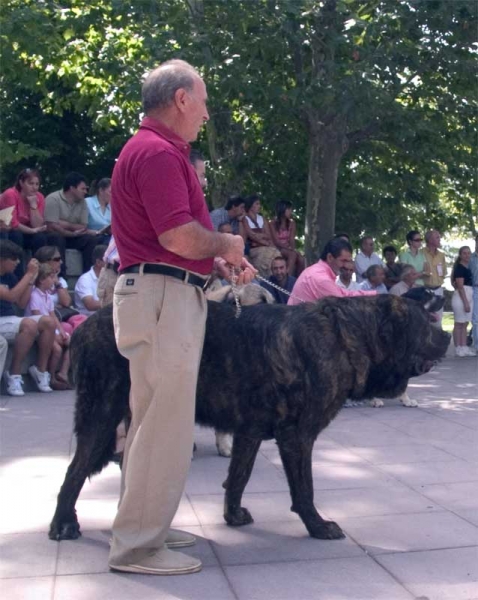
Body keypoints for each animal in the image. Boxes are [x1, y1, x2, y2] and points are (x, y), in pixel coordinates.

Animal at [48, 290, 448, 544]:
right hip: (102, 413)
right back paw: (64, 524)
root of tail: (82, 328)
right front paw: (317, 526)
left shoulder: (250, 431)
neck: (348, 337)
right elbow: (304, 488)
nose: (445, 335)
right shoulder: (298, 436)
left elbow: (239, 476)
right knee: (74, 471)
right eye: (425, 323)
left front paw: (233, 515)